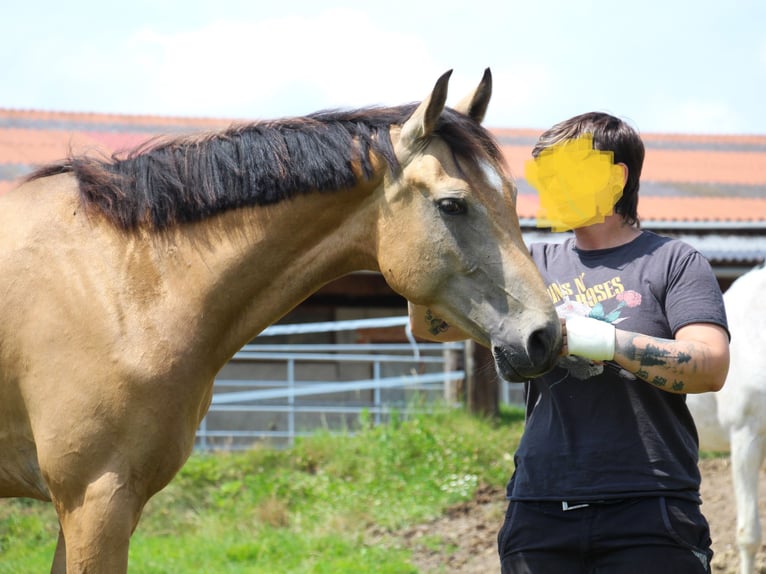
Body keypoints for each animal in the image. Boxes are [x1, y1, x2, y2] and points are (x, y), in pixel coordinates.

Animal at [0, 70, 564, 572]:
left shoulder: (95, 508)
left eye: (513, 197)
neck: (120, 282)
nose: (545, 336)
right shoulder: (94, 502)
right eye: (452, 205)